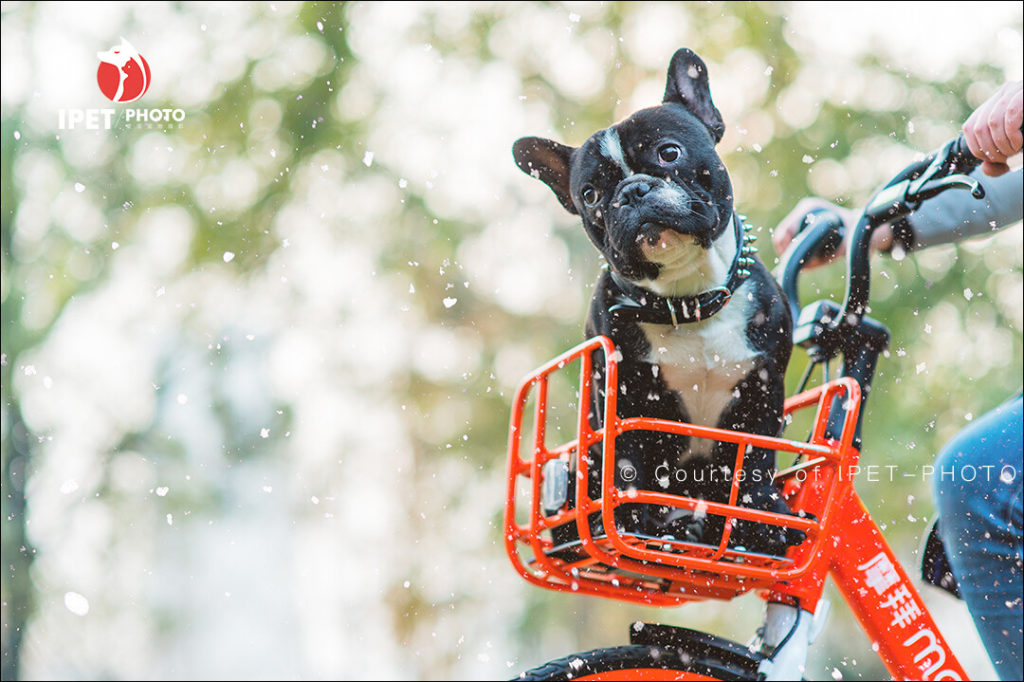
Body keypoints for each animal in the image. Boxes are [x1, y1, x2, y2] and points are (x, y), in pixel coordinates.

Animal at [512, 46, 798, 552]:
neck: (689, 300)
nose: (632, 191)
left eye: (670, 152)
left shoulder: (763, 388)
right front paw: (628, 526)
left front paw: (760, 519)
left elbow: (756, 462)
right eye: (590, 194)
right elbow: (627, 470)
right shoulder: (624, 403)